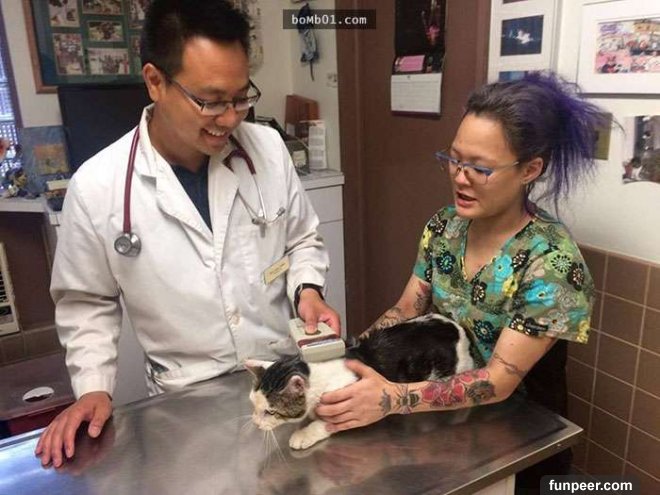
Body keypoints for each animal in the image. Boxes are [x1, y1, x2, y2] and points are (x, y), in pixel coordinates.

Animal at [244, 313, 475, 450]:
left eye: (270, 412)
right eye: (253, 405)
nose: (255, 423)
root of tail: (456, 327)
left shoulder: (344, 402)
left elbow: (325, 423)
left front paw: (304, 433)